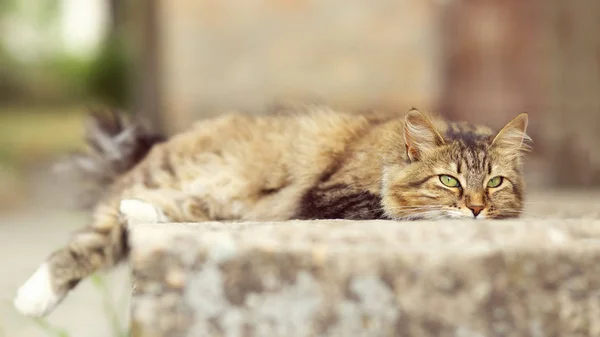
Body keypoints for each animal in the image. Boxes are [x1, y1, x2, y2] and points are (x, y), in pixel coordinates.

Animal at [12, 106, 528, 316]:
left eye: (495, 183)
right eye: (449, 181)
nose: (477, 209)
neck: (385, 157)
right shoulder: (327, 197)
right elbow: (392, 208)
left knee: (124, 225)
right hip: (163, 185)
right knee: (85, 243)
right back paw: (30, 300)